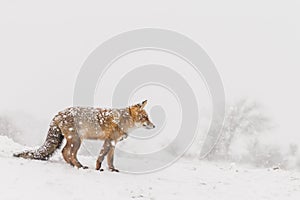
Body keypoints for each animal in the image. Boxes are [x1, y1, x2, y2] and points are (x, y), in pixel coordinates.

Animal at [13, 100, 155, 172]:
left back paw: (73, 165)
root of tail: (58, 114)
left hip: (74, 141)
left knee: (65, 152)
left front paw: (112, 169)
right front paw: (98, 168)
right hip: (77, 141)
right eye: (145, 118)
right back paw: (79, 166)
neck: (123, 121)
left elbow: (110, 159)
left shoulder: (113, 143)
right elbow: (101, 157)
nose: (154, 126)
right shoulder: (109, 141)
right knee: (69, 153)